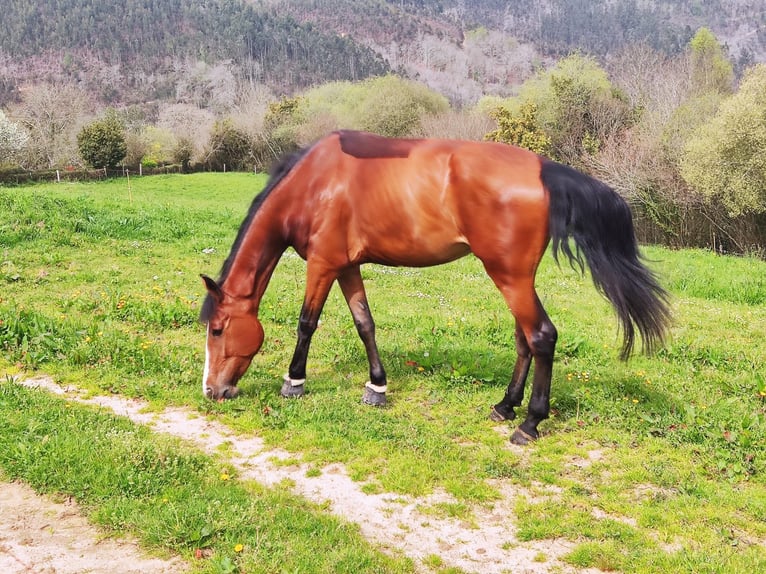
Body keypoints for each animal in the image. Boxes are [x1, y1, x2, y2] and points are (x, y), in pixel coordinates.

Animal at [200, 130, 671, 445]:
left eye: (218, 329)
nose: (213, 391)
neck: (315, 182)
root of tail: (543, 168)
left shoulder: (323, 264)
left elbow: (306, 323)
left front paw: (293, 382)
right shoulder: (347, 266)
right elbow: (365, 324)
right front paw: (377, 387)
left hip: (509, 277)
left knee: (541, 336)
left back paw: (529, 422)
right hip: (515, 279)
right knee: (524, 339)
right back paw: (505, 406)